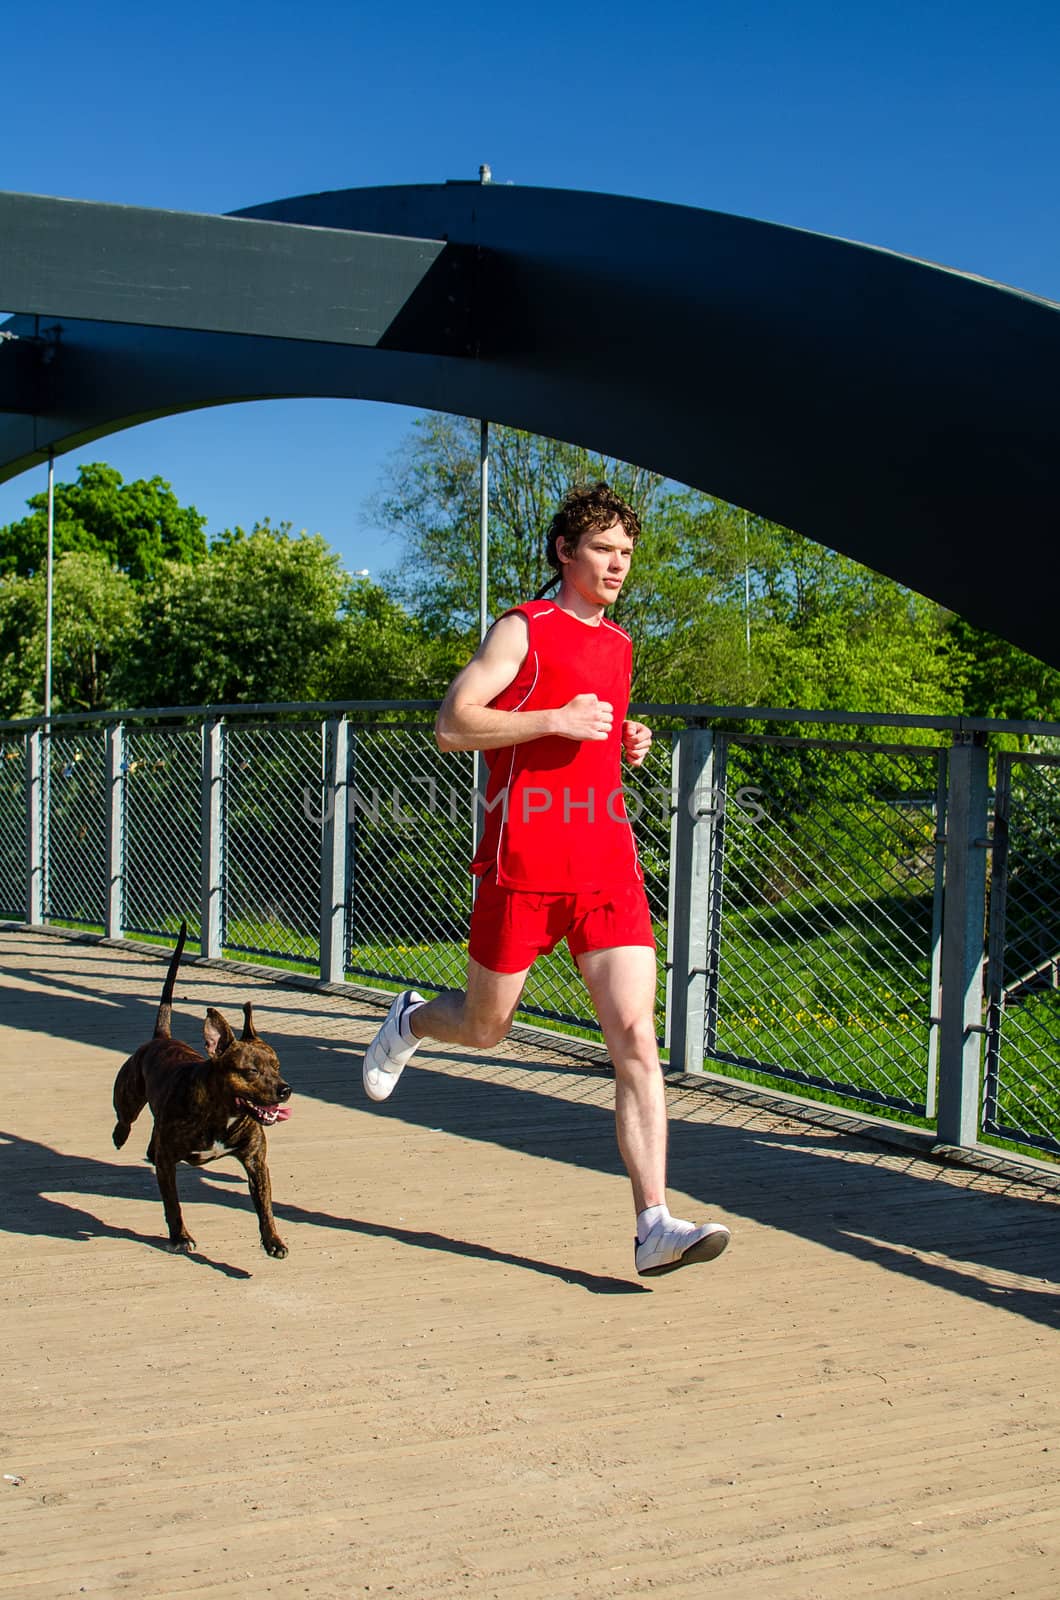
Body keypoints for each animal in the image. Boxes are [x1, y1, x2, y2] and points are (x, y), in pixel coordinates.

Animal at [112, 934, 293, 1254]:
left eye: (277, 1066)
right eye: (251, 1071)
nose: (285, 1090)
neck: (223, 1113)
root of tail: (162, 1038)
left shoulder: (256, 1163)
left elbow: (265, 1207)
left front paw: (273, 1240)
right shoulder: (168, 1163)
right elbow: (173, 1204)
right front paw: (180, 1236)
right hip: (129, 1093)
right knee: (125, 1118)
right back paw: (119, 1136)